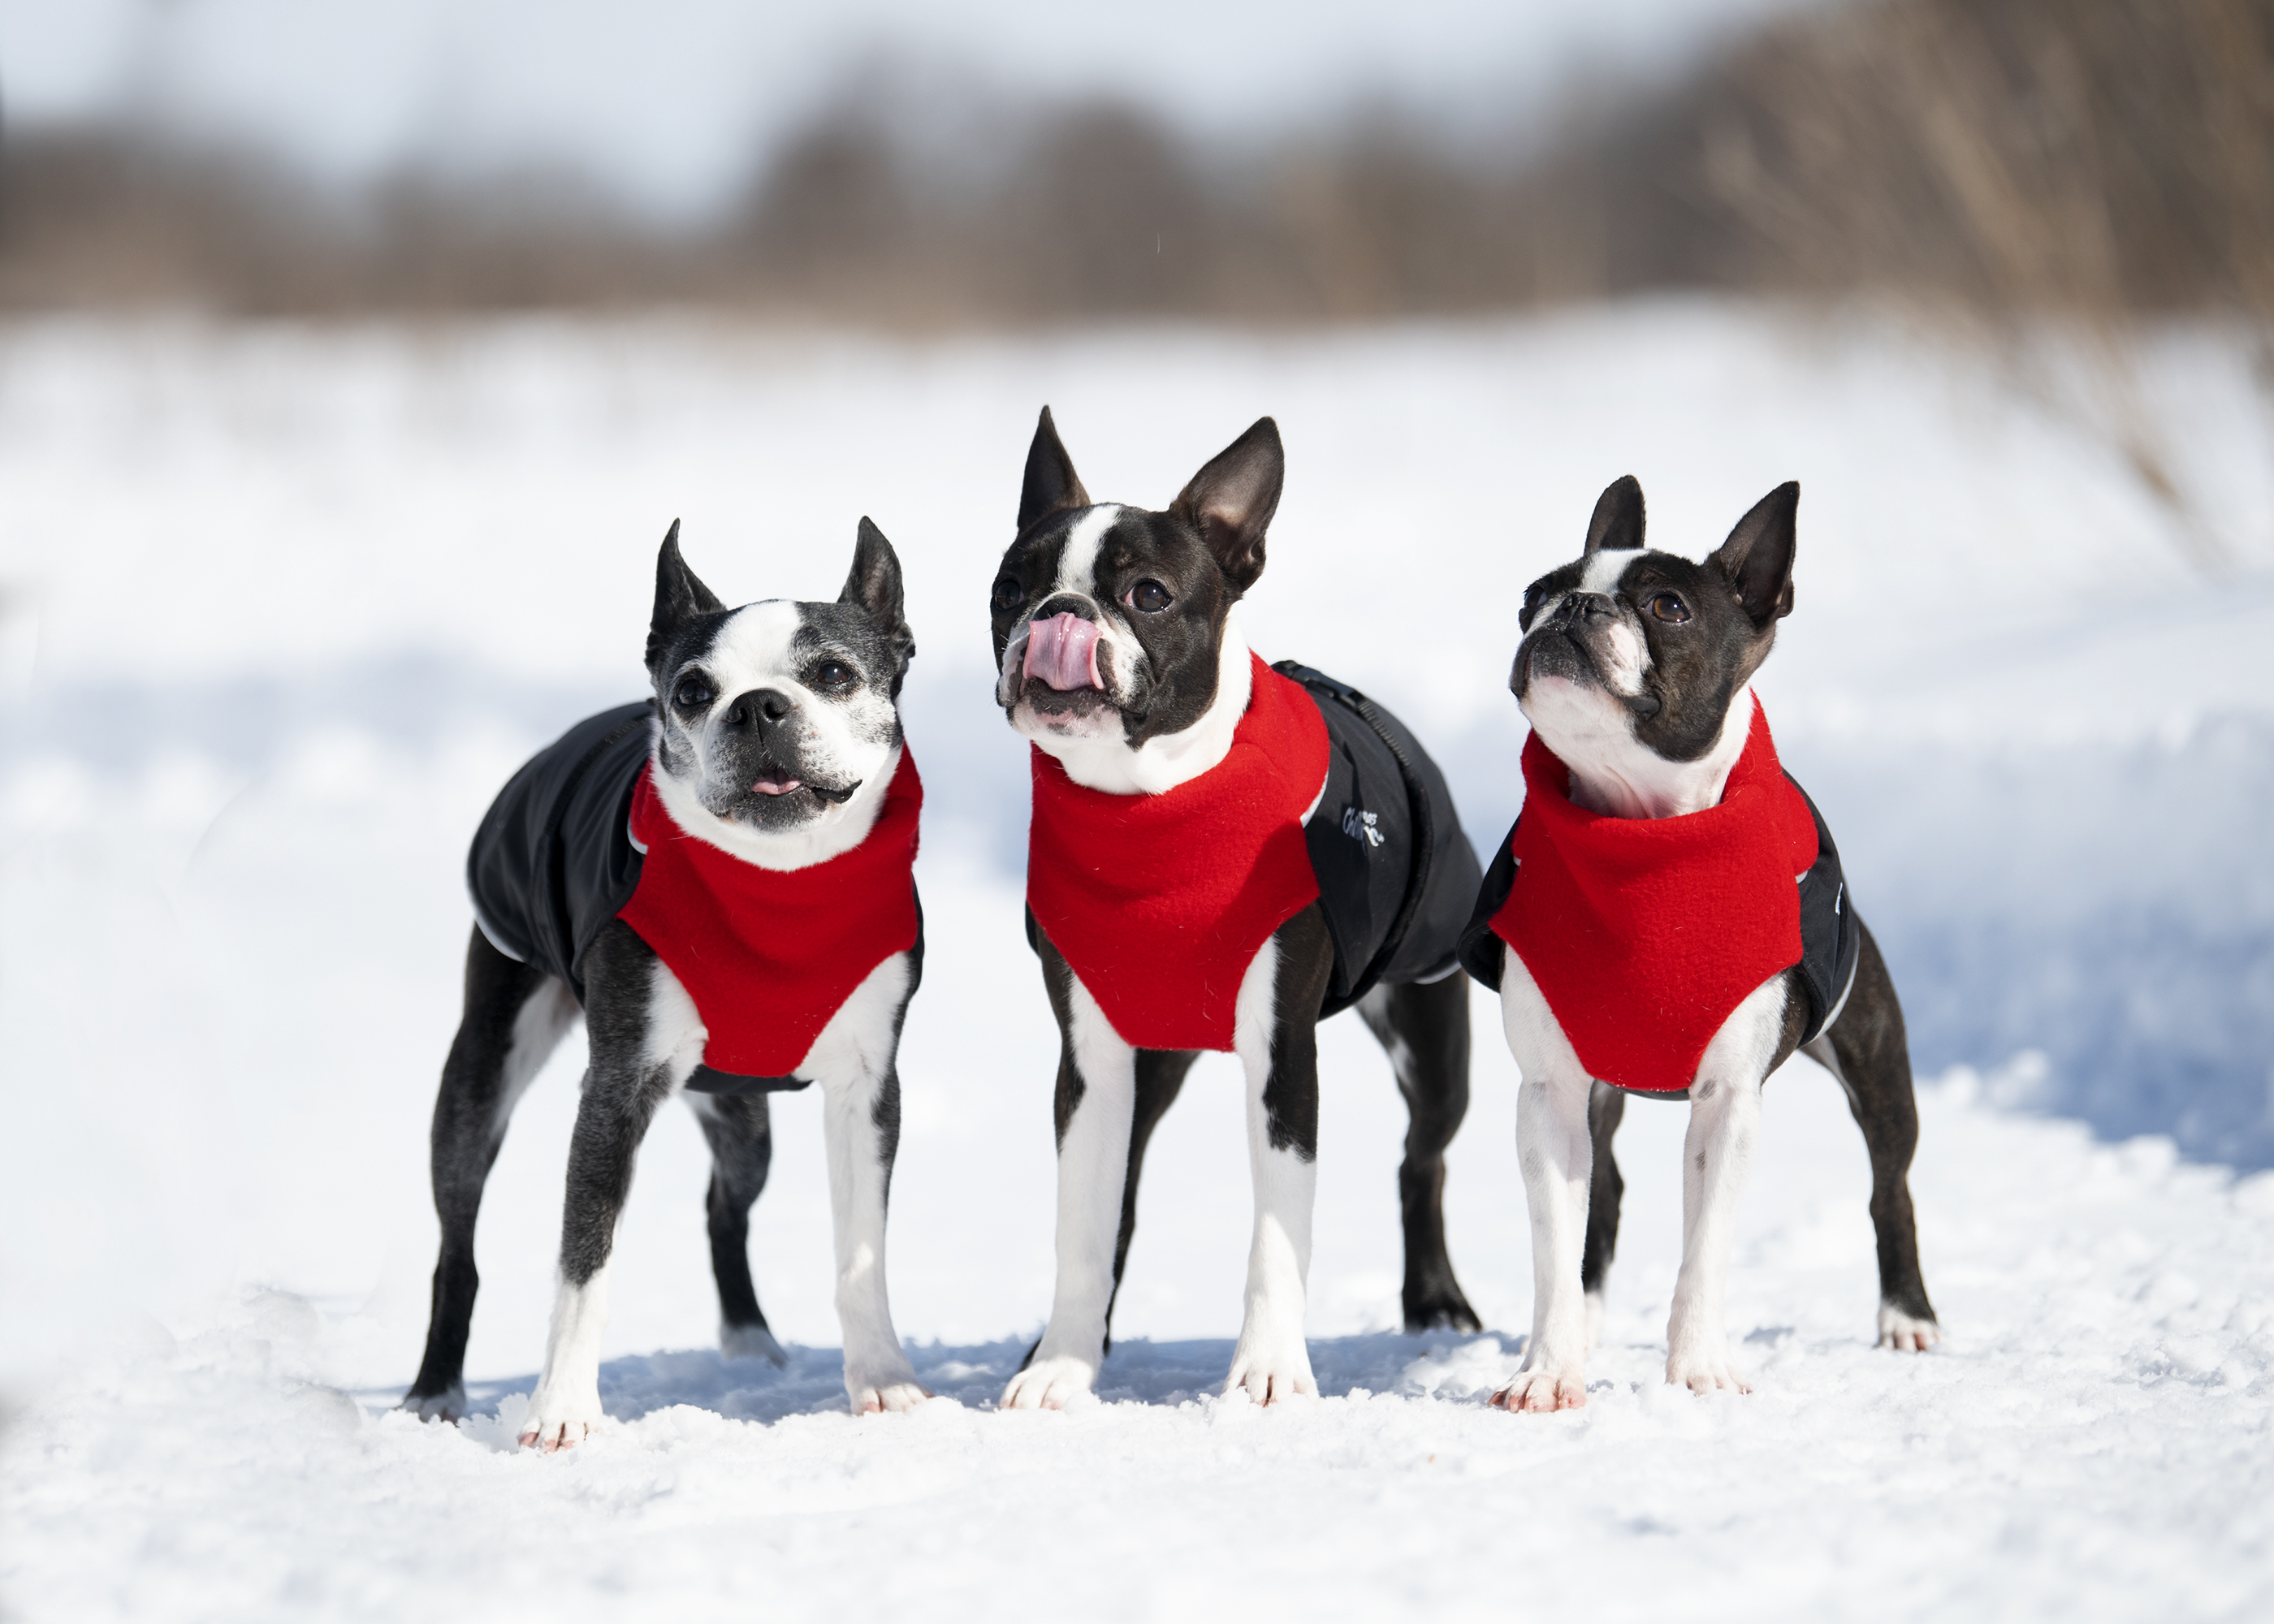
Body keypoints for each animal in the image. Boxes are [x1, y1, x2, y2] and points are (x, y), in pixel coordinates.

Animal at [402, 518, 932, 1446]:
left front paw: (882, 1381)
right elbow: (585, 1262)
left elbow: (860, 1251)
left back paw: (751, 1346)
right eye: (692, 690)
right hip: (480, 1073)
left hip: (742, 1118)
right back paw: (436, 1390)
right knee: (456, 1246)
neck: (778, 884)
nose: (757, 705)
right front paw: (561, 1411)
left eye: (834, 673)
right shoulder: (616, 1091)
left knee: (726, 1204)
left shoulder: (869, 1089)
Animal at [987, 407, 1482, 1401]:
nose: (1058, 614)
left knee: (1421, 1159)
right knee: (1127, 1195)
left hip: (1430, 1030)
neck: (1147, 809)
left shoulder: (1283, 1058)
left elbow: (1276, 1239)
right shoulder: (1092, 1064)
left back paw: (1436, 1301)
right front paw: (1060, 1367)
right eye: (1008, 589)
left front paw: (1268, 1372)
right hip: (1151, 1065)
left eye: (1147, 592)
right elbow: (1085, 1224)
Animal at [1455, 470, 1937, 1401]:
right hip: (1598, 1092)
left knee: (1887, 1185)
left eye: (1667, 607)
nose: (1572, 606)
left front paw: (1700, 1370)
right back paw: (1589, 1324)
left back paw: (1907, 1317)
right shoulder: (1551, 1095)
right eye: (1532, 595)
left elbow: (1704, 1248)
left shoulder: (1727, 1102)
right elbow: (1555, 1244)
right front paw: (1548, 1371)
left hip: (1877, 1063)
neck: (1642, 841)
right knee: (1603, 1192)